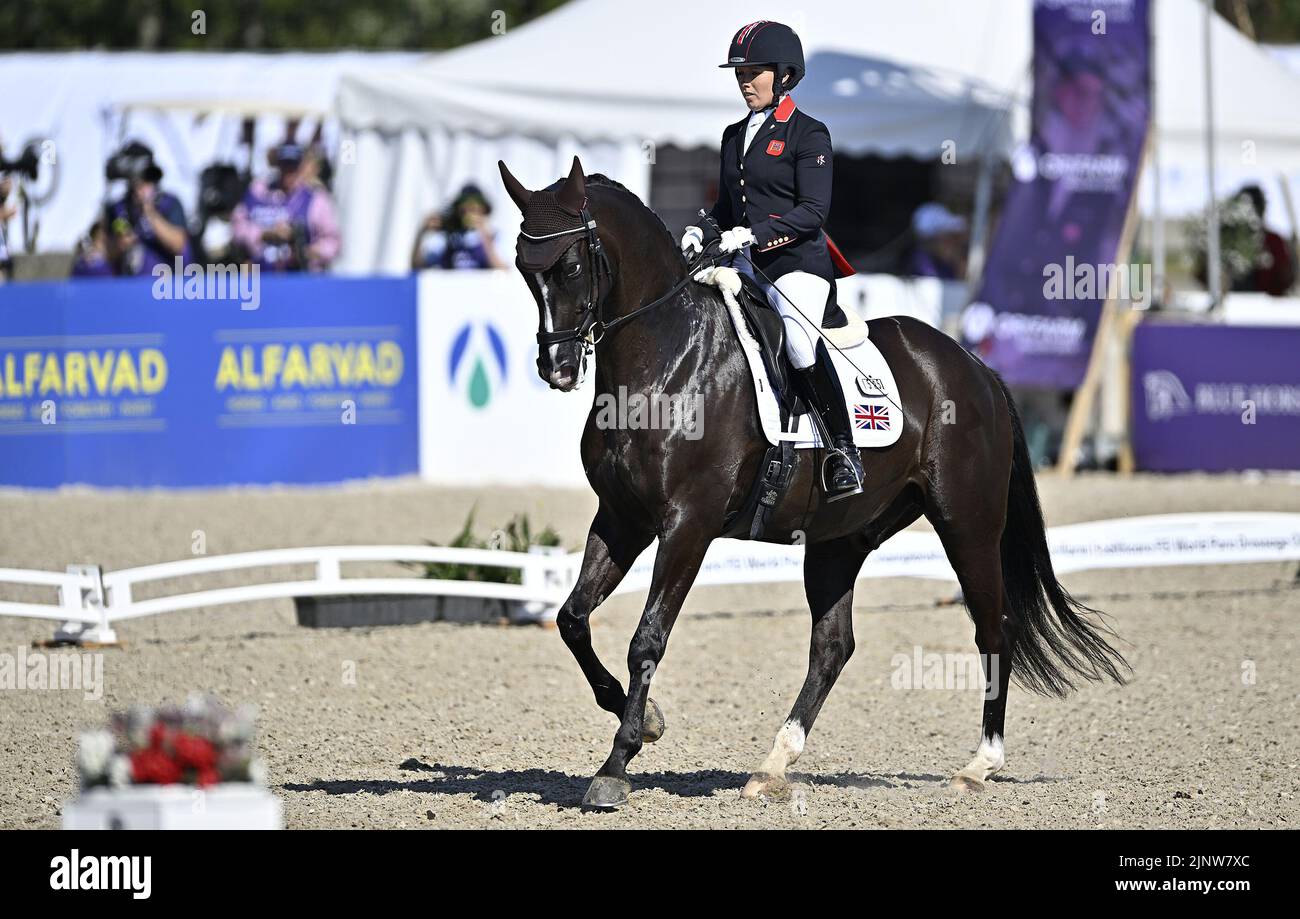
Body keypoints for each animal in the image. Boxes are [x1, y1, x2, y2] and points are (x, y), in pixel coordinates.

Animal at [496, 157, 1128, 811]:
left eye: (571, 265)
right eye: (524, 268)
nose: (557, 369)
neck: (667, 361)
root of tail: (974, 366)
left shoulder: (687, 524)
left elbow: (647, 639)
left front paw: (616, 765)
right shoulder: (622, 518)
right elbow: (572, 618)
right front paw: (647, 722)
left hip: (968, 525)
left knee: (991, 627)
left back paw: (980, 764)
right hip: (839, 538)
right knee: (832, 647)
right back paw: (773, 765)